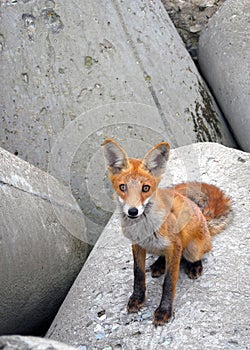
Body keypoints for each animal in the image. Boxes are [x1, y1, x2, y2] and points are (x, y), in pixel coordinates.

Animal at [102, 138, 231, 326]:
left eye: (146, 188)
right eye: (123, 187)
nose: (133, 211)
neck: (145, 230)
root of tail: (204, 218)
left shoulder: (175, 245)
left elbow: (169, 283)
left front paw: (164, 311)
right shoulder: (137, 245)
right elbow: (138, 275)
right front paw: (137, 298)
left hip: (192, 249)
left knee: (196, 255)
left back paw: (194, 266)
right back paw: (159, 264)